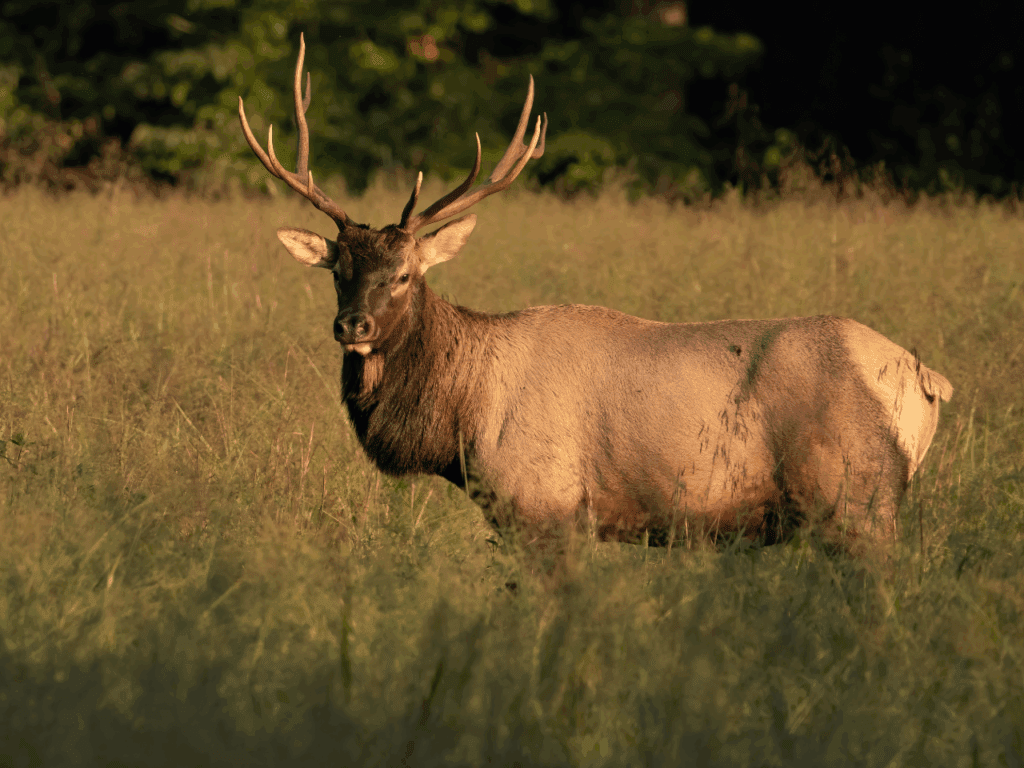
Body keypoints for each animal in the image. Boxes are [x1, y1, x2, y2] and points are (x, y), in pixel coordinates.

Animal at [239, 35, 953, 568]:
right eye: (339, 270)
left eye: (406, 275)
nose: (351, 324)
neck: (462, 423)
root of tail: (926, 380)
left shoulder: (546, 508)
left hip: (857, 500)